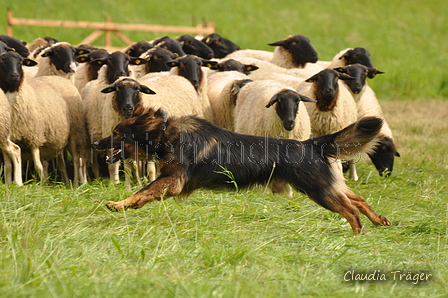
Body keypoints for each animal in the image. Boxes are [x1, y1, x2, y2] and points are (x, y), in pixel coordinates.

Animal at [95, 106, 392, 234]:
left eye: (116, 133)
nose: (95, 143)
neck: (166, 133)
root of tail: (311, 144)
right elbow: (144, 193)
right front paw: (124, 206)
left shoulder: (173, 179)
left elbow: (143, 191)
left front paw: (119, 205)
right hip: (326, 186)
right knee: (358, 199)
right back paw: (379, 221)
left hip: (318, 189)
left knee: (351, 210)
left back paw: (357, 234)